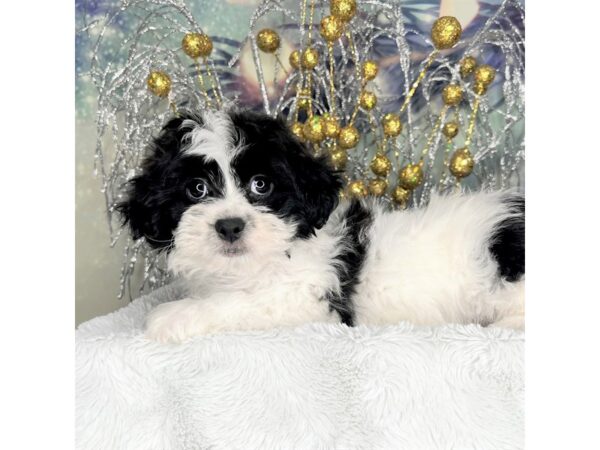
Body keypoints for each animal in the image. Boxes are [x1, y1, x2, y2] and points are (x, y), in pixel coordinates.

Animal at [119, 107, 524, 342]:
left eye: (261, 185)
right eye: (197, 189)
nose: (230, 226)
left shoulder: (306, 301)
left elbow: (236, 305)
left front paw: (172, 317)